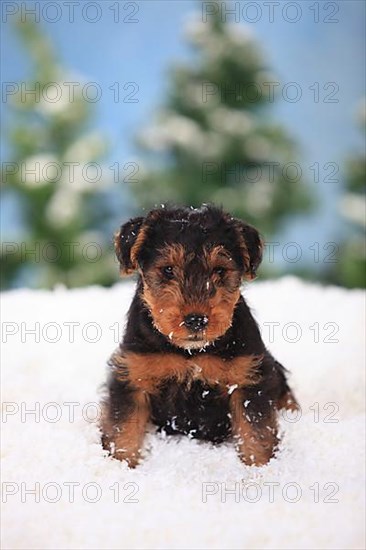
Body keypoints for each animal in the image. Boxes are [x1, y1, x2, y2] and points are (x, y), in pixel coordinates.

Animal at [100, 205, 298, 468]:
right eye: (168, 269)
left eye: (219, 270)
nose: (196, 320)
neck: (189, 352)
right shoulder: (133, 376)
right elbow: (123, 430)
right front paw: (122, 465)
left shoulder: (247, 380)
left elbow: (256, 432)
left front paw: (260, 468)